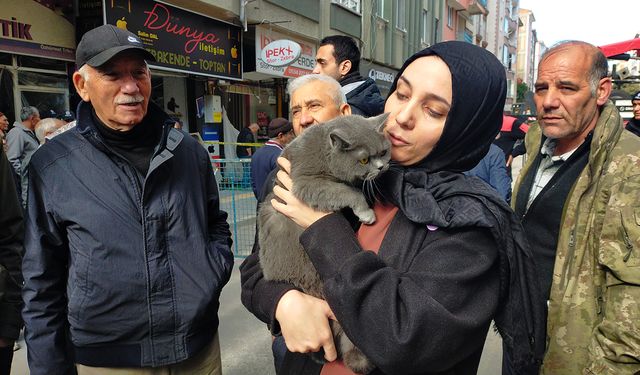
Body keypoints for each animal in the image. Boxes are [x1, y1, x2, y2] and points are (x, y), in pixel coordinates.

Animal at [258, 113, 390, 374]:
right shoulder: (306, 182)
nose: (382, 167)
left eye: (383, 152)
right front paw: (366, 212)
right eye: (364, 159)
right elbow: (348, 192)